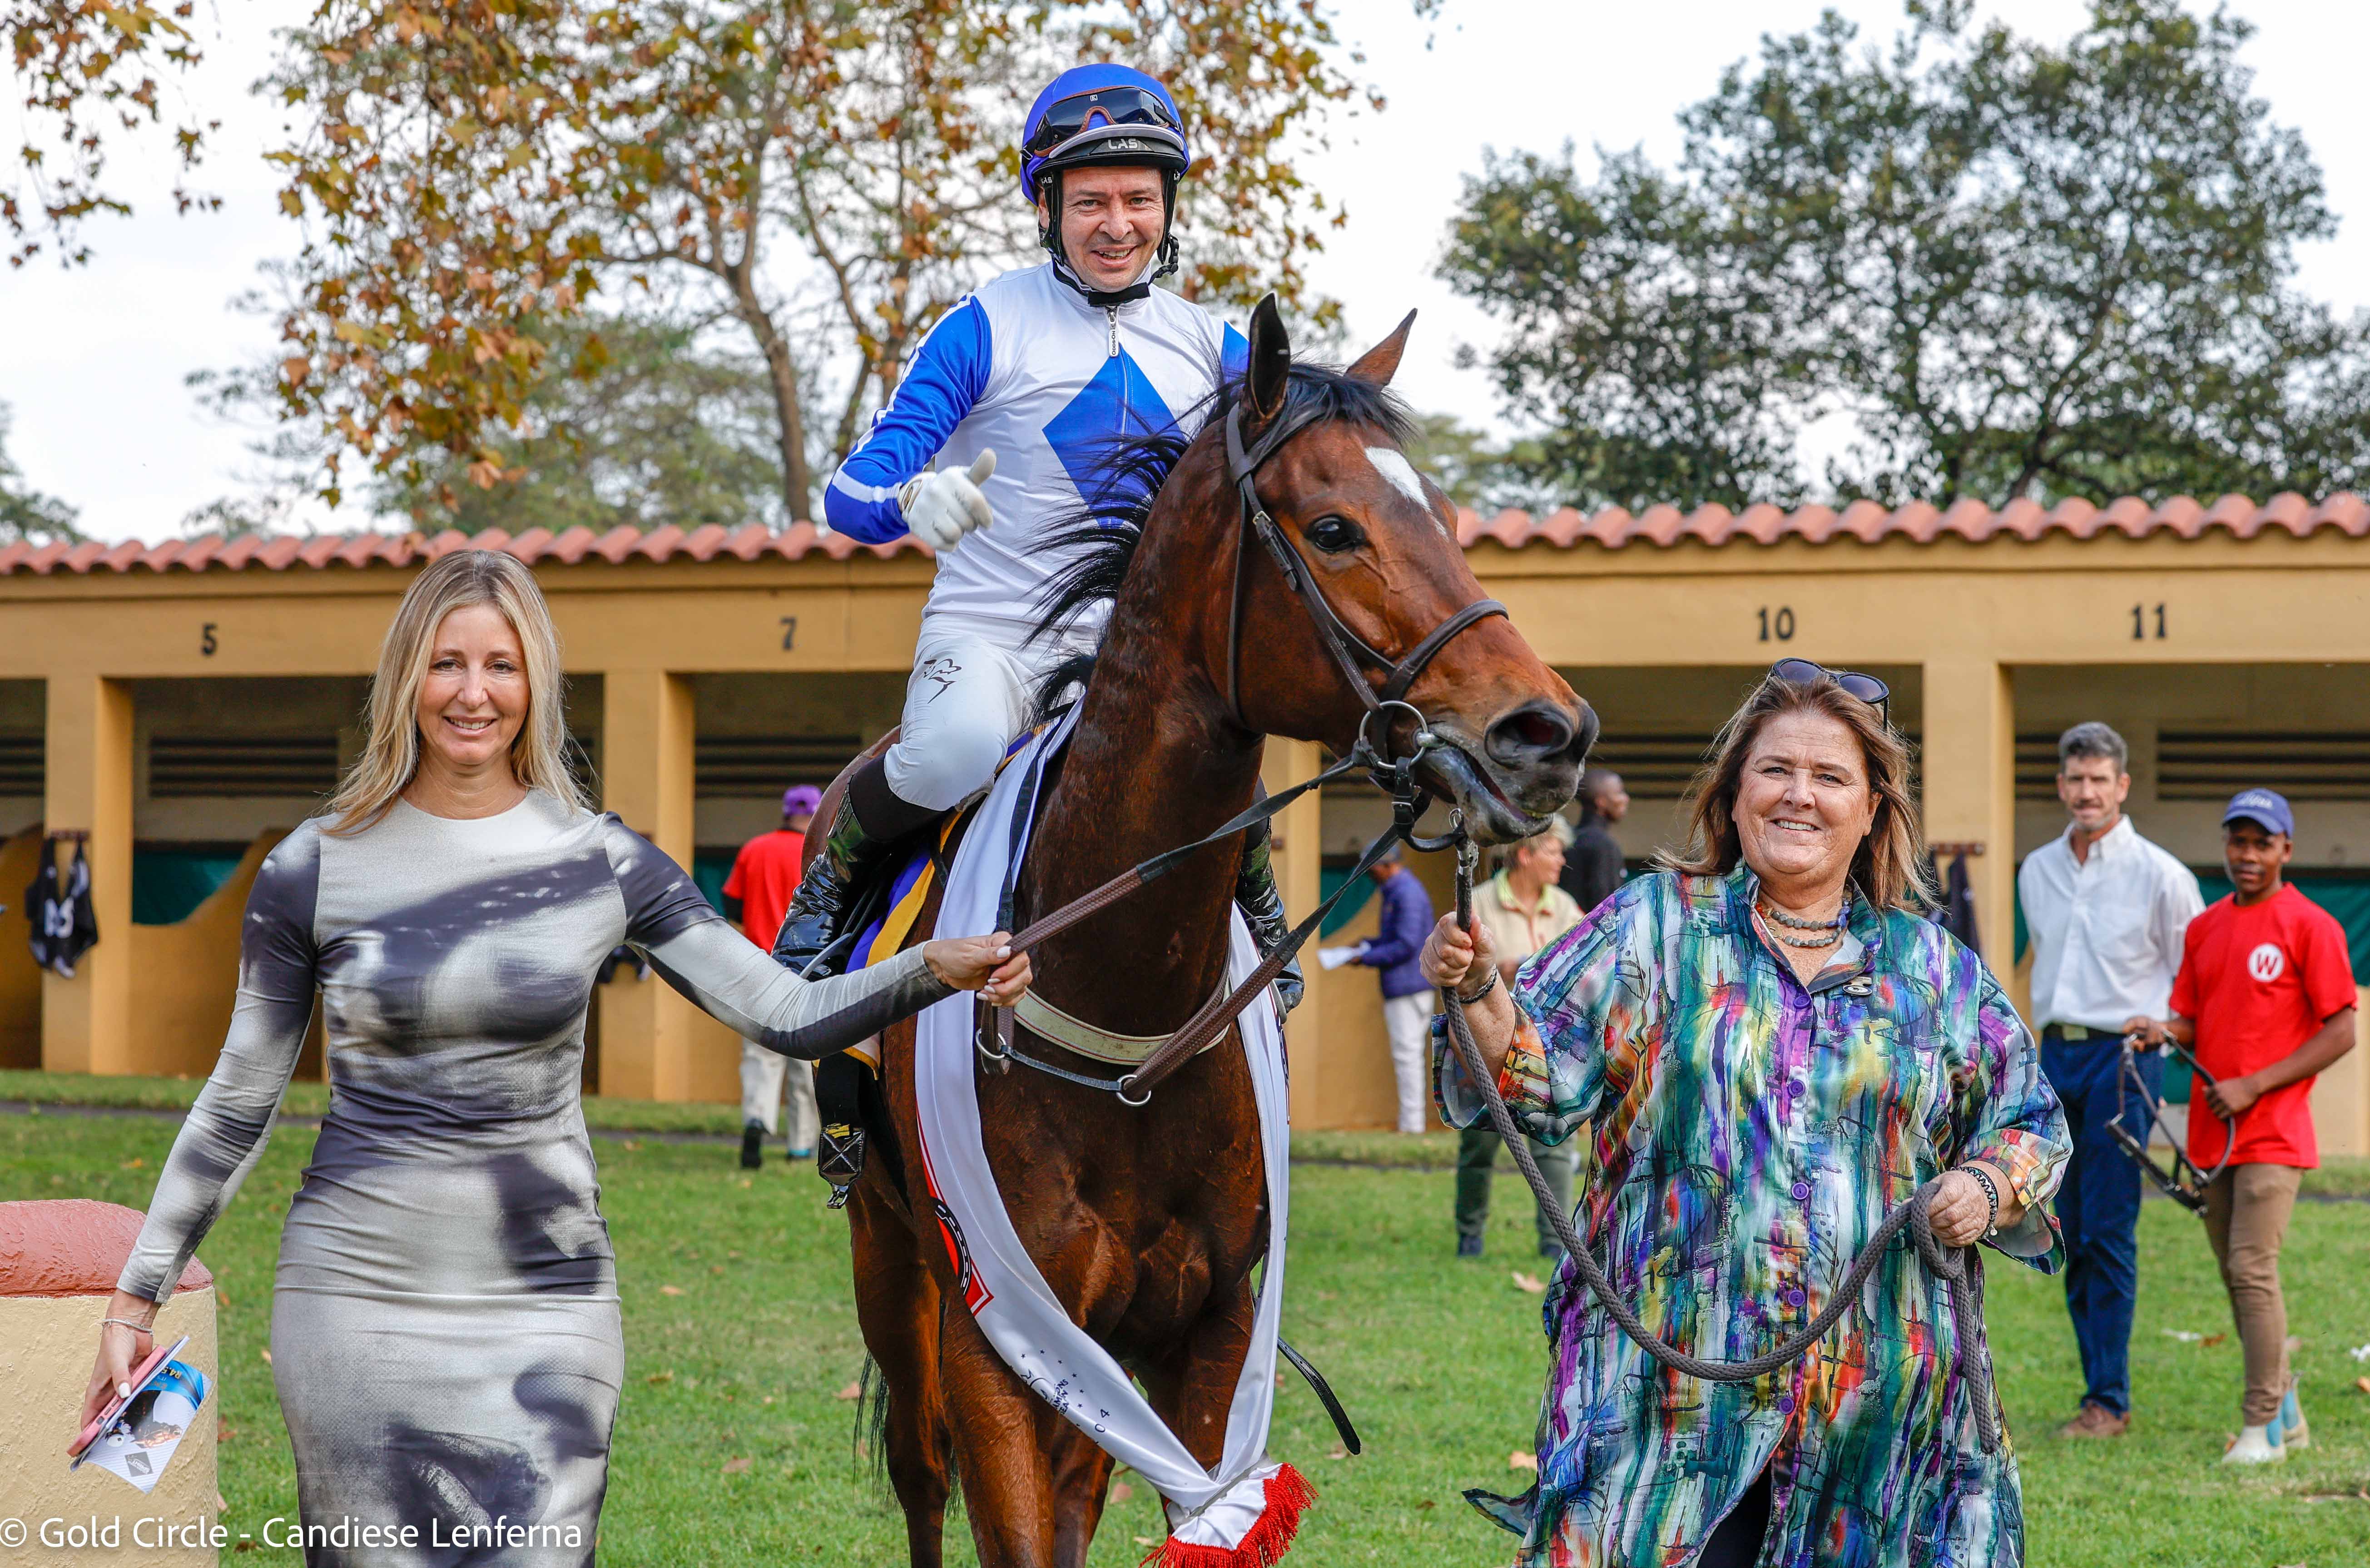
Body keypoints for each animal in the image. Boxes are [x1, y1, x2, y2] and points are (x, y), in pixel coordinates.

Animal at [831, 298, 1592, 1568]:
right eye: (1332, 528)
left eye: (1443, 516)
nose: (1549, 732)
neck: (1123, 1009)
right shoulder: (995, 1336)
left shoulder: (1206, 1329)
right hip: (890, 1261)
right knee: (916, 1475)